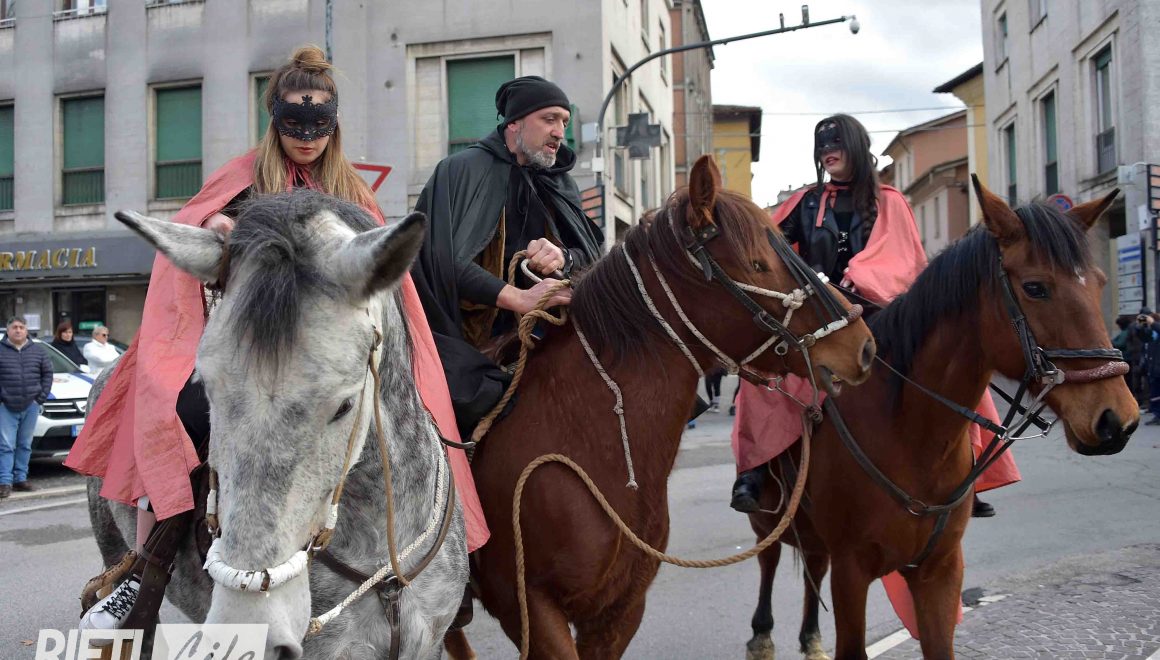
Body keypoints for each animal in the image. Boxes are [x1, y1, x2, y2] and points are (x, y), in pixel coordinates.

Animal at [741, 178, 1139, 660]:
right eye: (1035, 287)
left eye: (1099, 283)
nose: (1117, 419)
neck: (912, 436)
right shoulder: (852, 573)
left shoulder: (940, 573)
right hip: (769, 517)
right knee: (769, 557)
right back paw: (763, 632)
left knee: (813, 562)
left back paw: (811, 636)